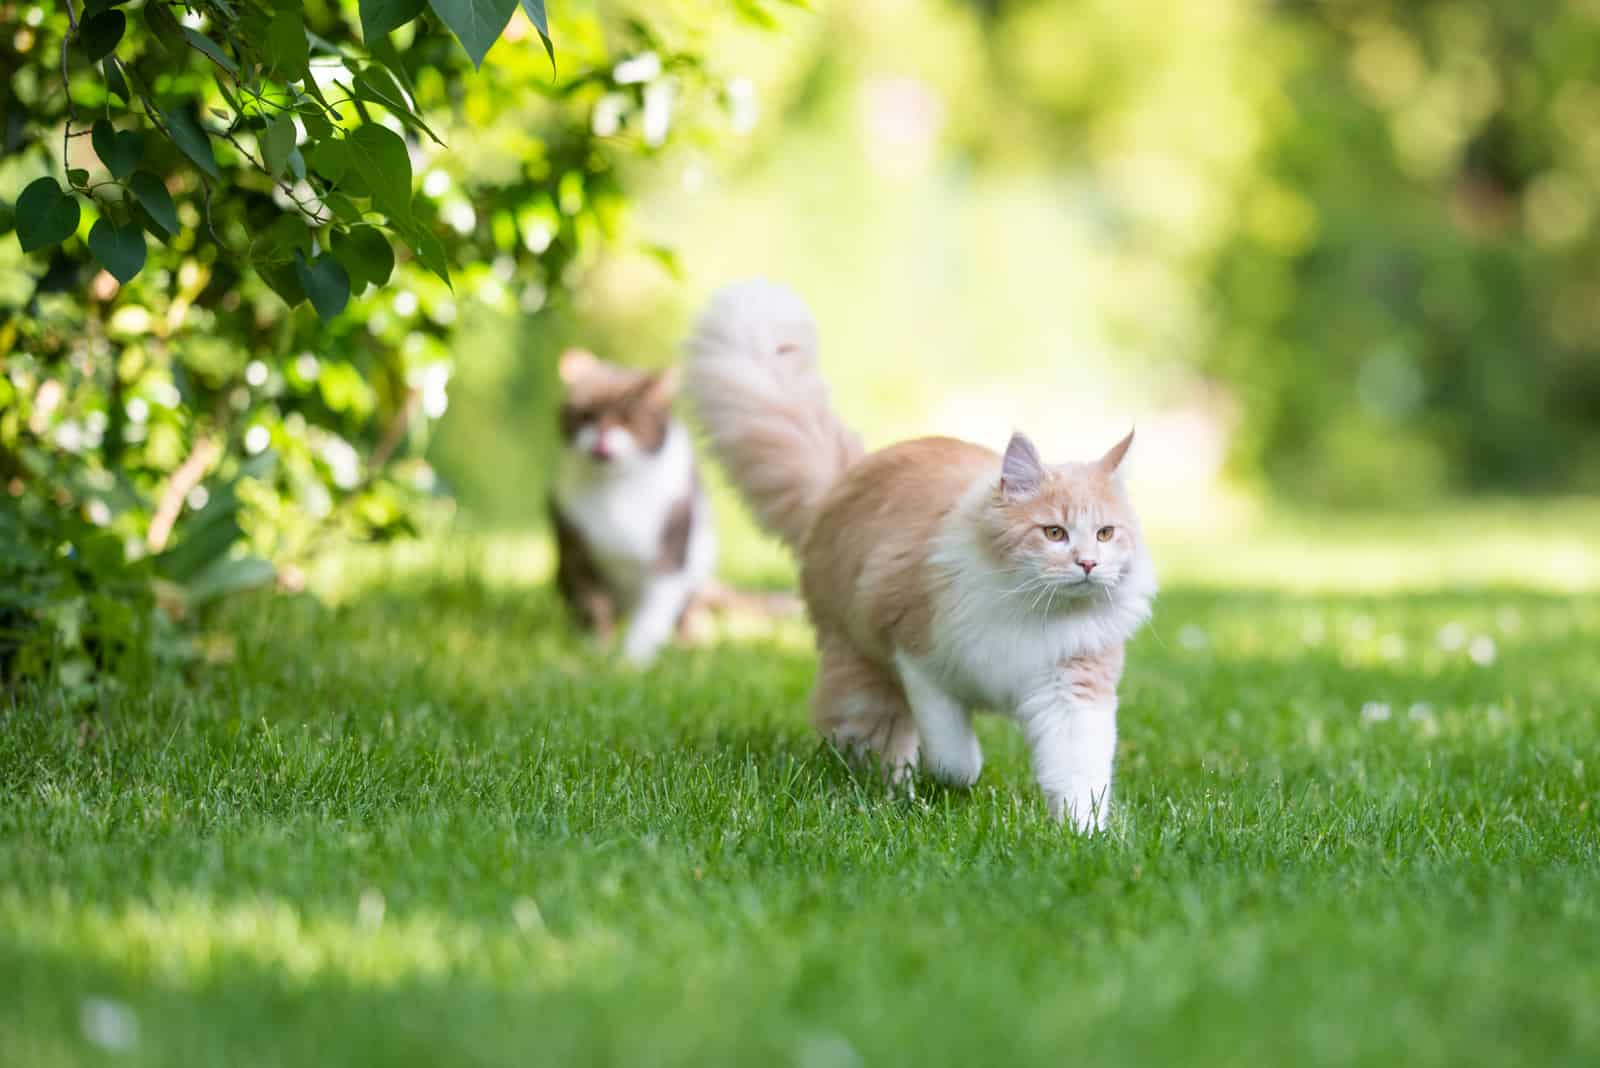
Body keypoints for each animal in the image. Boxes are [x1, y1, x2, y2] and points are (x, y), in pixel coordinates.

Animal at [556, 350, 720, 661]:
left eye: (627, 419)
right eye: (587, 416)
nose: (602, 437)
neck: (617, 487)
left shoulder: (671, 554)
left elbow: (651, 618)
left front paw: (632, 661)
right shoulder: (576, 554)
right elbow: (596, 608)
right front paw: (597, 652)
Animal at [681, 279, 1158, 831]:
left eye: (1105, 533)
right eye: (1054, 533)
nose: (1087, 564)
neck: (1031, 611)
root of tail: (843, 480)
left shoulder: (1072, 693)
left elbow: (1079, 777)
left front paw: (1083, 835)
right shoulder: (920, 661)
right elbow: (956, 755)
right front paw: (953, 782)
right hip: (864, 677)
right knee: (864, 738)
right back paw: (892, 792)